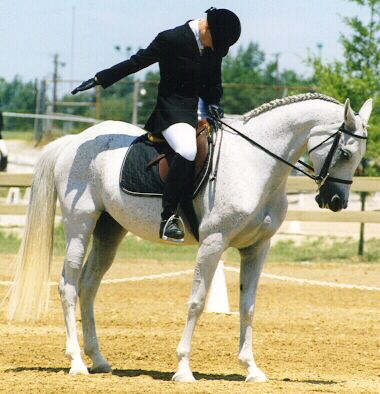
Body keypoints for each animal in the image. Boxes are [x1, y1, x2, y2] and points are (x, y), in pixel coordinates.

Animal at [7, 92, 372, 382]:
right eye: (344, 154)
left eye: (360, 156)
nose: (336, 201)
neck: (255, 164)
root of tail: (74, 141)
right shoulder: (214, 242)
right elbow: (196, 301)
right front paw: (183, 369)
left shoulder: (257, 248)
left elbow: (249, 306)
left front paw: (252, 369)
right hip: (80, 226)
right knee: (68, 286)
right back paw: (77, 364)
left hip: (110, 231)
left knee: (88, 287)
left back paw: (98, 360)